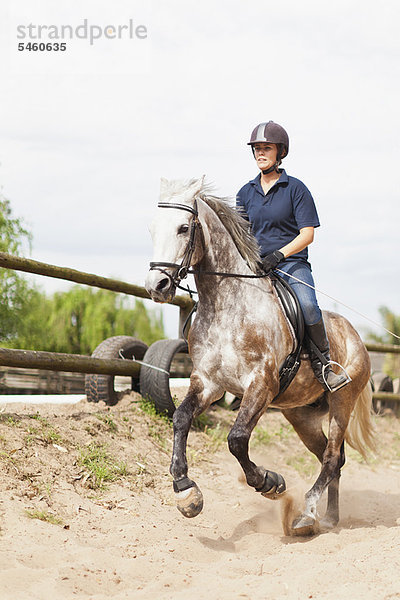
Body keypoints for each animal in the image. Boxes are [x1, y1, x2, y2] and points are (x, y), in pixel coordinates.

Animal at [145, 176, 376, 532]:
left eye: (184, 227)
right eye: (152, 229)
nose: (157, 285)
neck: (226, 304)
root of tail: (355, 336)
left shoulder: (261, 384)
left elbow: (237, 438)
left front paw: (269, 483)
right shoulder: (209, 383)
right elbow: (181, 418)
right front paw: (186, 492)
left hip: (342, 401)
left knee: (331, 457)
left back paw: (307, 513)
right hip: (301, 416)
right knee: (333, 458)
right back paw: (328, 517)